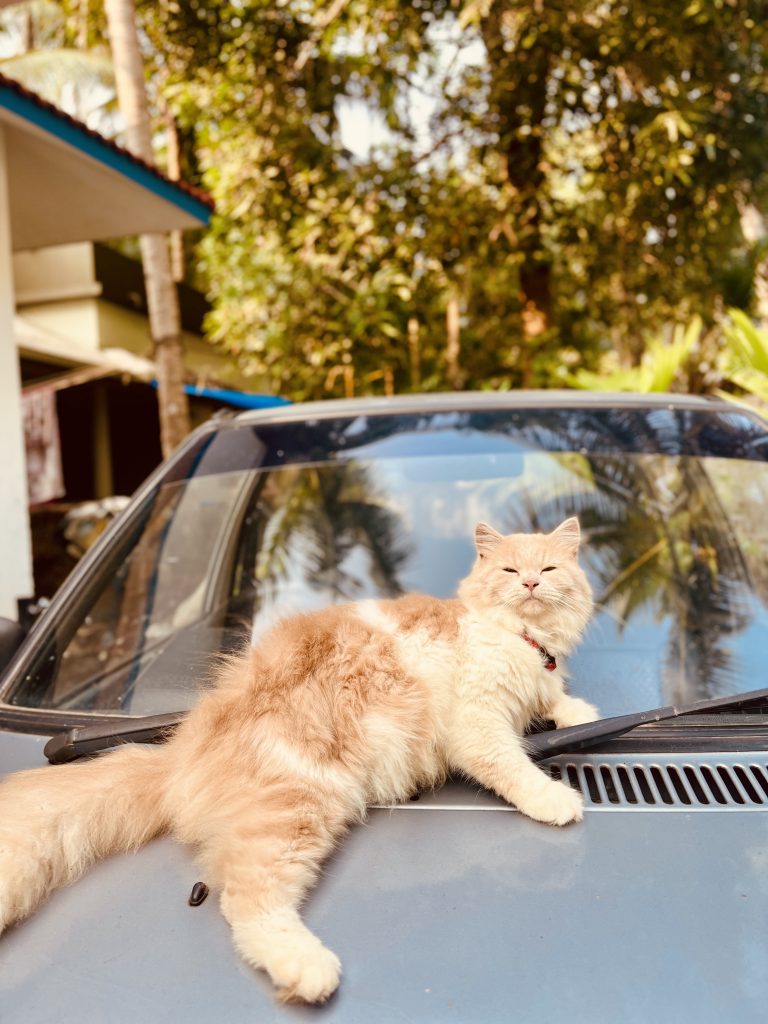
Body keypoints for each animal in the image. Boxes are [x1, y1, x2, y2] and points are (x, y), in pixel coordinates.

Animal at [0, 520, 602, 999]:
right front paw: (556, 798)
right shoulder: (477, 725)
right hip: (298, 807)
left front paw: (577, 709)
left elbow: (554, 699)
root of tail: (180, 749)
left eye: (548, 567)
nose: (530, 583)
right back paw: (309, 970)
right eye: (509, 569)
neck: (522, 639)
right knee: (246, 899)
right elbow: (513, 765)